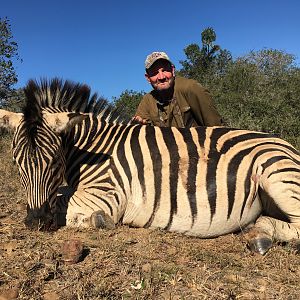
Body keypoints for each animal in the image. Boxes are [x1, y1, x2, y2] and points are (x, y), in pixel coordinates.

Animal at [0, 78, 300, 254]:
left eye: (53, 162)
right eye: (16, 163)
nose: (36, 222)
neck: (94, 150)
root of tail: (286, 145)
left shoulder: (107, 195)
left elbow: (65, 202)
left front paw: (97, 220)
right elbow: (60, 196)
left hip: (276, 173)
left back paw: (260, 234)